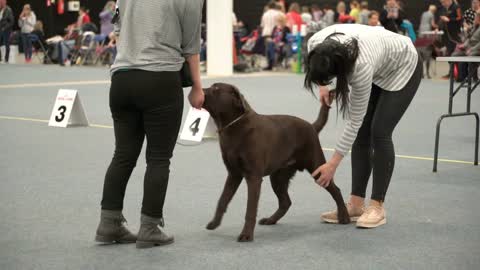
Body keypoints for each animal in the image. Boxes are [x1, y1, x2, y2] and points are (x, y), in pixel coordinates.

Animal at [202, 83, 348, 242]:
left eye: (216, 89)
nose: (200, 90)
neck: (234, 126)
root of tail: (311, 126)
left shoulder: (253, 177)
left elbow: (250, 209)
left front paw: (246, 235)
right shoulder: (233, 174)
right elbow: (223, 200)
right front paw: (214, 223)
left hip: (317, 167)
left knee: (336, 190)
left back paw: (344, 217)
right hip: (278, 177)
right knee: (286, 202)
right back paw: (270, 220)